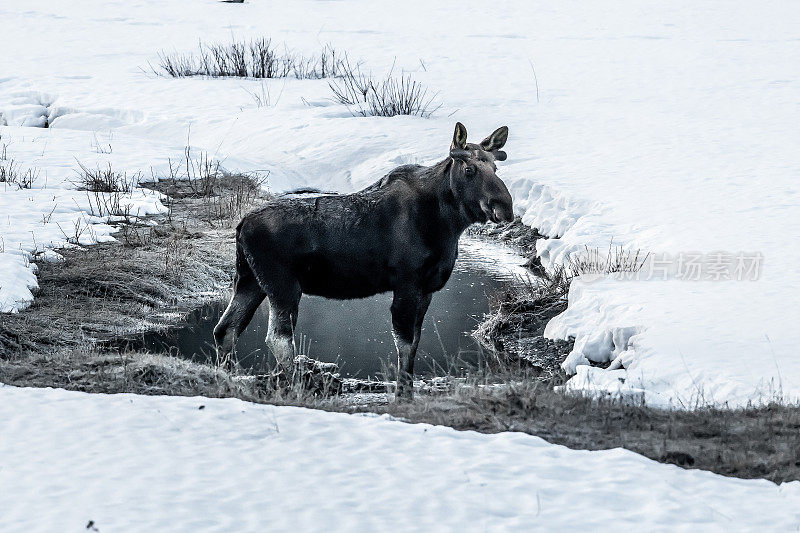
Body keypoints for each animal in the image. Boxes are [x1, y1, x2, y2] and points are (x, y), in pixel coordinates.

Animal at [214, 122, 512, 400]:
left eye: (496, 169)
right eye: (469, 170)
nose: (504, 207)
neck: (446, 223)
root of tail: (241, 225)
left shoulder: (426, 289)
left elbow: (414, 343)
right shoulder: (407, 283)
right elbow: (404, 343)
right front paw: (402, 394)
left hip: (250, 281)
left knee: (225, 329)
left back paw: (227, 380)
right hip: (282, 285)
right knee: (277, 338)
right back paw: (299, 385)